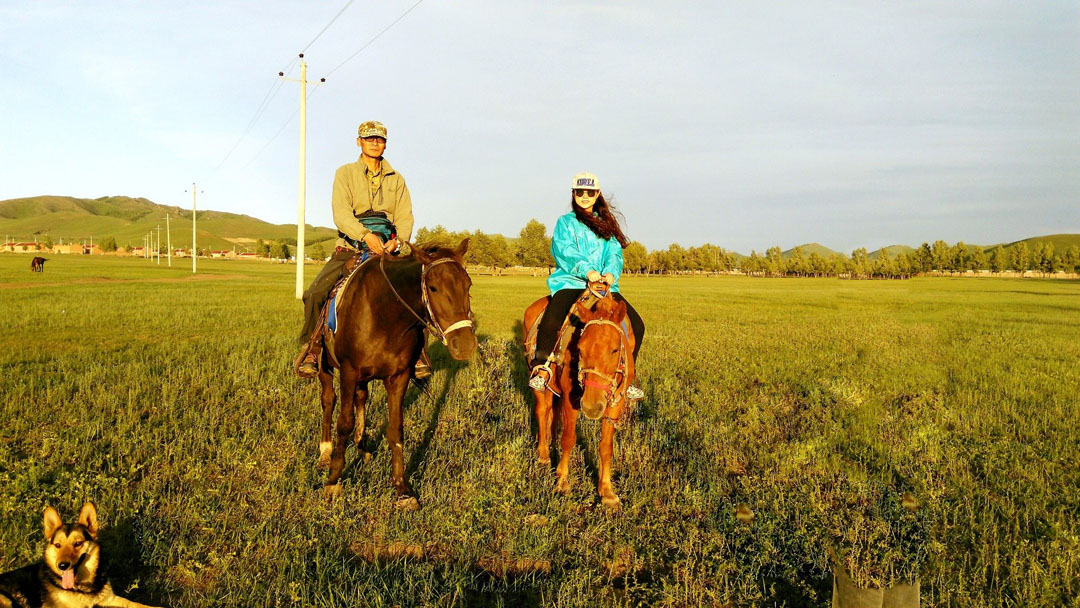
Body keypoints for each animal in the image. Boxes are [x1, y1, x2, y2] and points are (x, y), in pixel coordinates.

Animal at [0, 505, 159, 608]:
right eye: (57, 545)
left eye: (77, 543)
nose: (62, 566)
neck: (82, 586)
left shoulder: (110, 599)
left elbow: (136, 604)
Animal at [315, 238, 477, 509]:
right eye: (432, 287)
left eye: (468, 284)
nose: (464, 344)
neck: (383, 314)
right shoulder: (348, 372)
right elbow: (344, 422)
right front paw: (333, 481)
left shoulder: (398, 377)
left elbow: (395, 428)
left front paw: (402, 489)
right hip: (325, 366)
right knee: (329, 401)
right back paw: (326, 452)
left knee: (361, 398)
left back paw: (362, 447)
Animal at [524, 285, 635, 509]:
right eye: (580, 348)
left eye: (615, 349)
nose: (592, 406)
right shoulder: (570, 398)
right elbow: (568, 438)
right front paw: (562, 482)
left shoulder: (616, 402)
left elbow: (606, 446)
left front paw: (607, 492)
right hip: (539, 384)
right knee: (542, 412)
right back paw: (543, 455)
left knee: (552, 415)